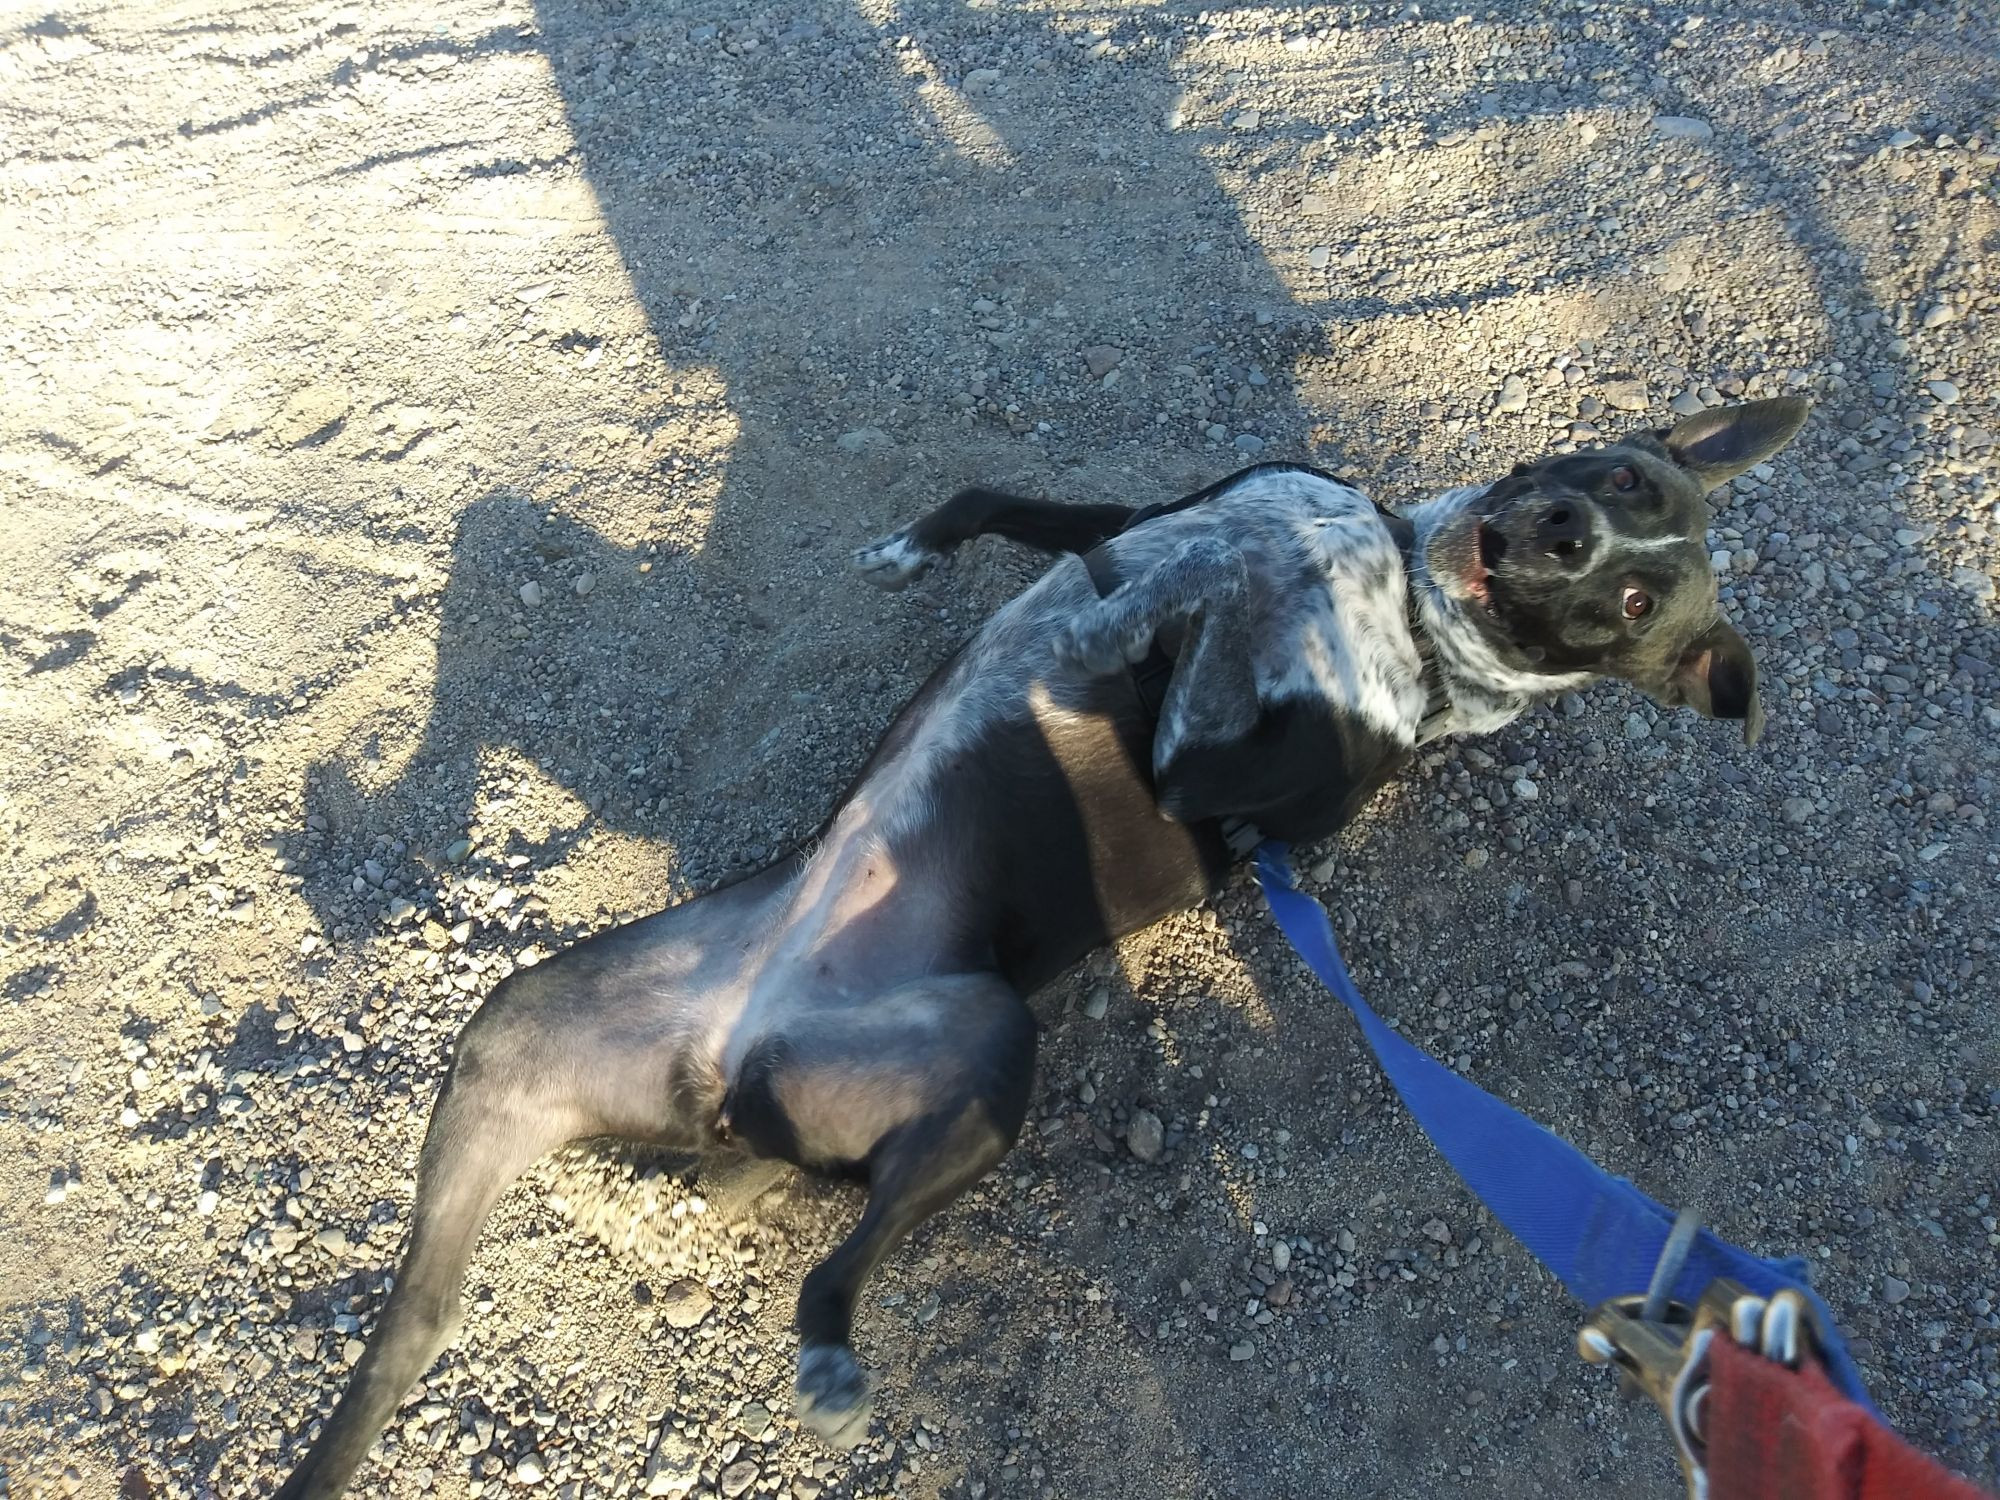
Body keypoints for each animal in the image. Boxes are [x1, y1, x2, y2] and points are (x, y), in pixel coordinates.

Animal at [270, 394, 1816, 1496]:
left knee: (830, 1260)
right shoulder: (1150, 516)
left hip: (989, 1050)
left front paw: (1199, 601)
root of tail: (735, 1061)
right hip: (517, 1035)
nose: (1560, 535)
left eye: (1632, 605)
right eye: (1625, 484)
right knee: (448, 1315)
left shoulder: (1208, 768)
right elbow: (1019, 506)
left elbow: (1195, 622)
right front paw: (949, 554)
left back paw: (826, 1353)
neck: (1407, 592)